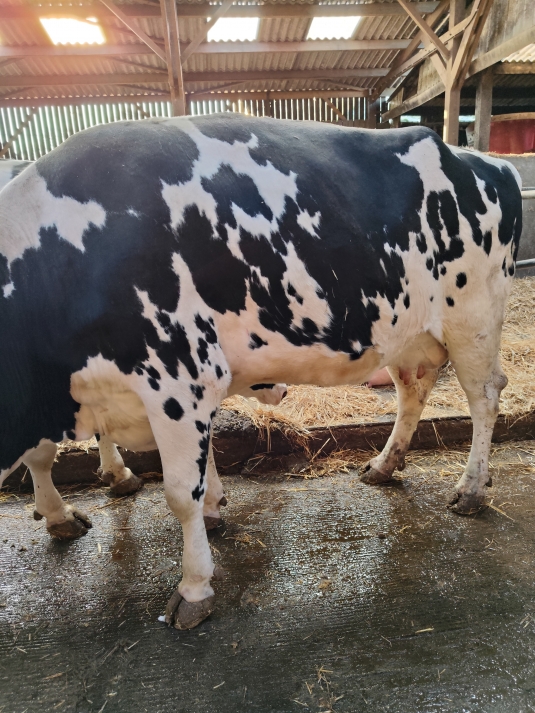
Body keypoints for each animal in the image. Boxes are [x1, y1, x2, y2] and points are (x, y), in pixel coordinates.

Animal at [0, 115, 522, 630]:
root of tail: (488, 161)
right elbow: (45, 456)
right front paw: (64, 514)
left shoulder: (178, 376)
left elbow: (180, 493)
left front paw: (193, 587)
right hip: (407, 330)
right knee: (413, 390)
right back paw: (383, 465)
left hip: (473, 316)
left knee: (485, 395)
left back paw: (470, 489)